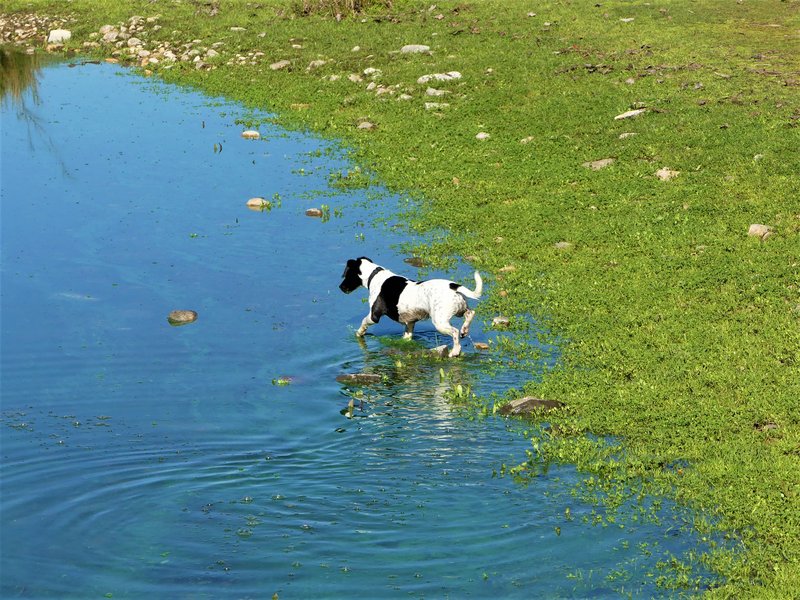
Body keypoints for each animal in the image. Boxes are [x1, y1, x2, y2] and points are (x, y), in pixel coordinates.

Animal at [338, 256, 482, 356]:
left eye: (346, 274)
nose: (340, 287)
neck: (374, 276)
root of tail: (454, 286)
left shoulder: (374, 315)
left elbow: (363, 322)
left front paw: (359, 333)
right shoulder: (410, 322)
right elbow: (407, 336)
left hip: (440, 322)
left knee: (455, 332)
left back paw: (455, 350)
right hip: (459, 309)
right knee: (470, 313)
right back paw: (464, 330)